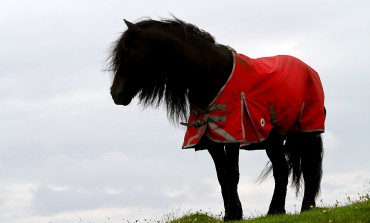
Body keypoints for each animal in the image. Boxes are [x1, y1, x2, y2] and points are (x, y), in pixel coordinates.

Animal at [105, 17, 326, 221]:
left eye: (128, 51)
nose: (116, 94)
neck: (209, 74)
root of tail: (310, 70)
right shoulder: (211, 137)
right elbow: (222, 176)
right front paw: (230, 213)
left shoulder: (232, 134)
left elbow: (233, 174)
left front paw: (234, 214)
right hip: (274, 139)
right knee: (282, 170)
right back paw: (275, 211)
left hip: (307, 132)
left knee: (309, 169)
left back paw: (307, 208)